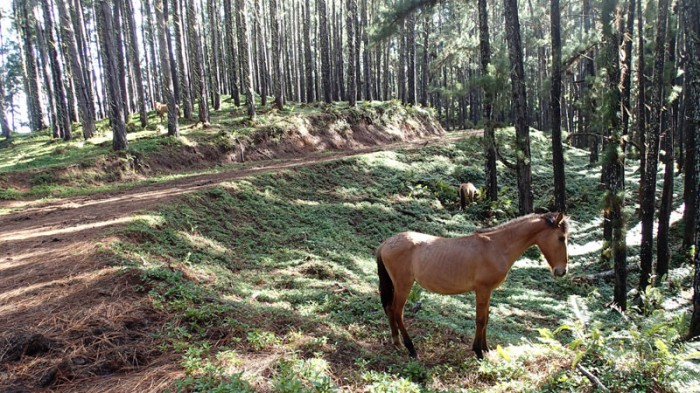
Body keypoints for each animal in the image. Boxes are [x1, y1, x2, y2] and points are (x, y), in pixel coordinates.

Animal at [378, 211, 568, 358]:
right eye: (561, 238)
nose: (562, 271)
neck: (496, 246)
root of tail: (386, 243)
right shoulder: (482, 289)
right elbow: (480, 320)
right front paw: (478, 351)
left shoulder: (488, 291)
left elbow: (486, 318)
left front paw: (485, 348)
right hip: (404, 285)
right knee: (397, 311)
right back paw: (411, 348)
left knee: (390, 309)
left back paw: (396, 343)